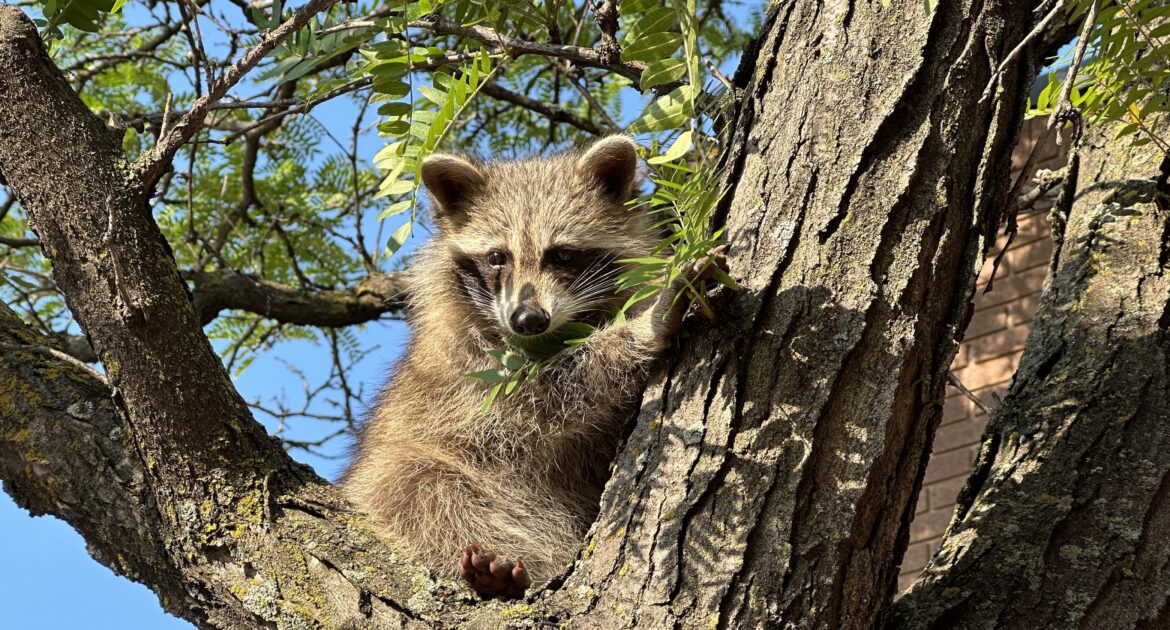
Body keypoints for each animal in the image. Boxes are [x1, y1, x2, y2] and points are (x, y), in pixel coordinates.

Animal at [342, 136, 705, 599]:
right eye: (498, 257)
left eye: (562, 255)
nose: (528, 319)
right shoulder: (468, 373)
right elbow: (538, 401)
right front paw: (640, 330)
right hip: (397, 476)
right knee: (423, 489)